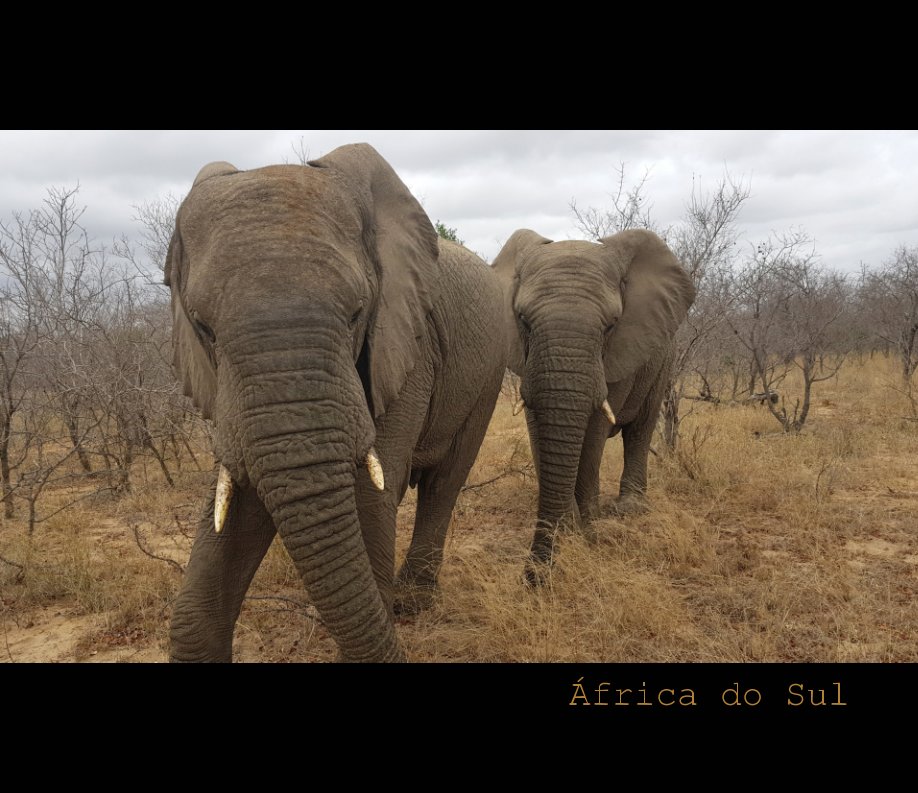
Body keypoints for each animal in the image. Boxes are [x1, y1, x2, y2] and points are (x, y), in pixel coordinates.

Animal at [166, 144, 510, 664]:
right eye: (204, 327)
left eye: (355, 315)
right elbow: (243, 500)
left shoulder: (408, 346)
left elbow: (368, 500)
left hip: (489, 371)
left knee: (445, 480)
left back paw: (414, 602)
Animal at [496, 226, 696, 580]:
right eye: (523, 320)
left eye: (611, 325)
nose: (533, 577)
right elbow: (538, 430)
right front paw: (568, 528)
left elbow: (594, 435)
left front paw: (587, 528)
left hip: (662, 360)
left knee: (641, 429)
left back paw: (630, 508)